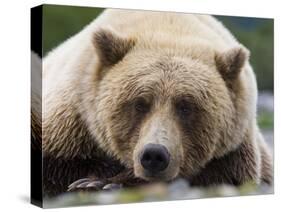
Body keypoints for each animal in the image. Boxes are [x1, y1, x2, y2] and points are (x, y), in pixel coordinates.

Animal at [37, 9, 272, 196]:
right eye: (140, 103)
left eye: (186, 106)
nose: (154, 155)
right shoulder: (73, 119)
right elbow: (52, 163)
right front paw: (90, 181)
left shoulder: (234, 151)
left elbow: (220, 175)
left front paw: (102, 183)